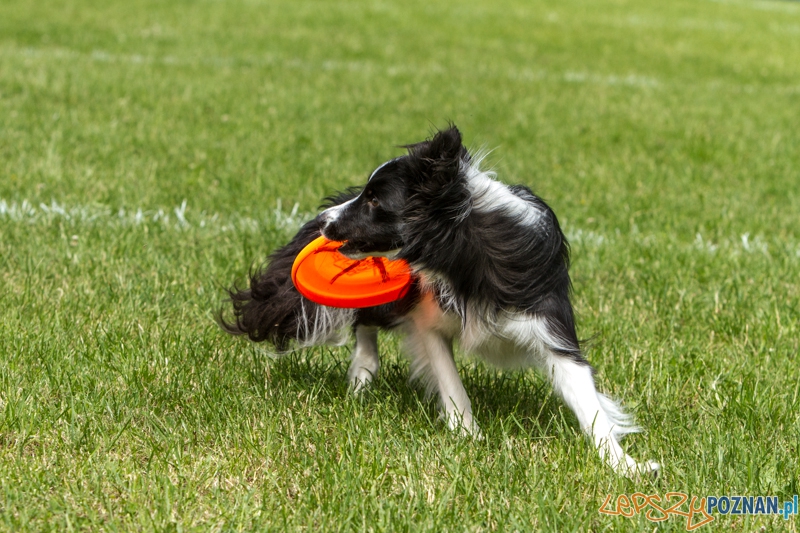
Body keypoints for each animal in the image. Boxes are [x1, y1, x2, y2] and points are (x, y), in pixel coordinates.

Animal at [221, 126, 659, 476]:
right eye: (365, 194)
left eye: (374, 201)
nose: (323, 219)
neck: (463, 250)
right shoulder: (427, 319)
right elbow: (450, 381)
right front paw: (469, 437)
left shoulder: (548, 323)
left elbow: (587, 400)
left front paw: (627, 466)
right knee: (366, 324)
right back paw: (362, 375)